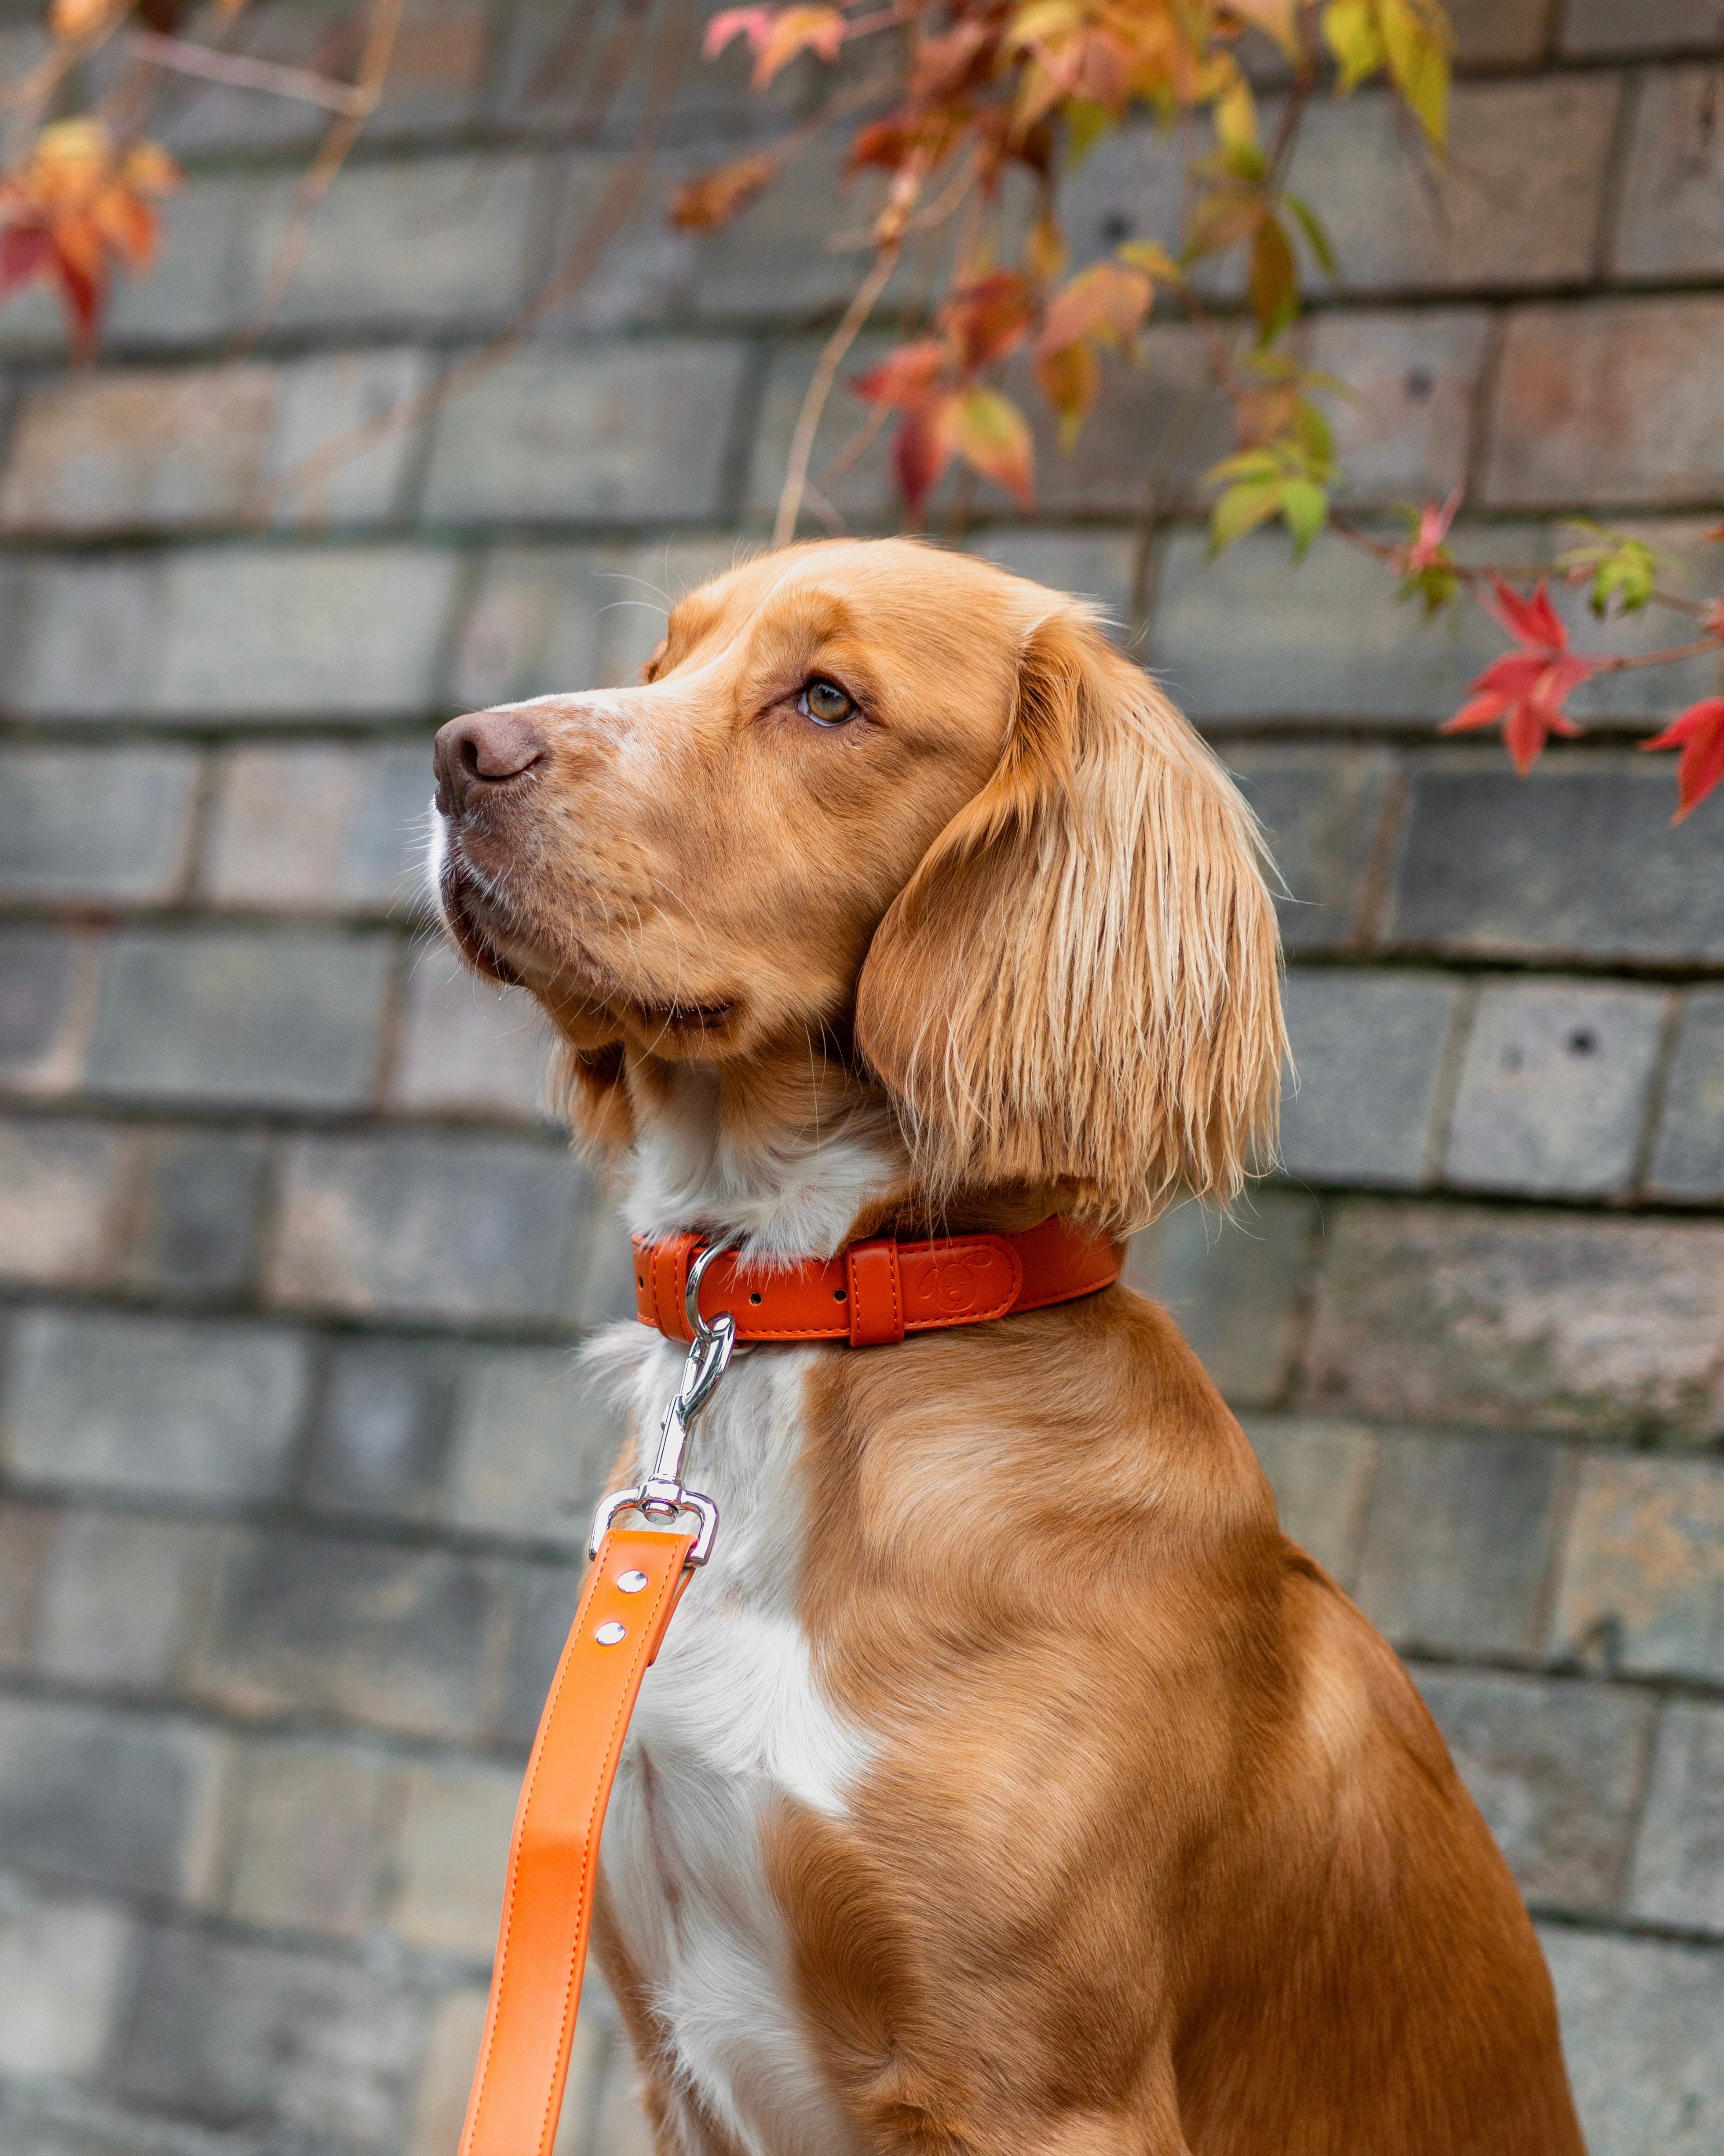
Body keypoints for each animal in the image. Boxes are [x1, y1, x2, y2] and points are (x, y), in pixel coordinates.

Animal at [427, 539, 1577, 2156]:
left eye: (827, 699)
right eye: (662, 667)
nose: (462, 753)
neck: (810, 1313)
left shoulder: (1046, 2092)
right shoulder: (670, 2051)